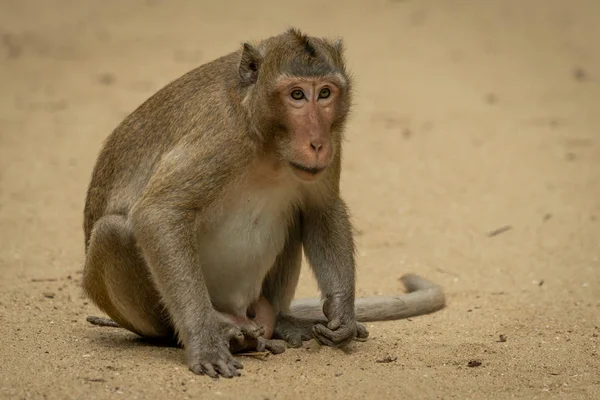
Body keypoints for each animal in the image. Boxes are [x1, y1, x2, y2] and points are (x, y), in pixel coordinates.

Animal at [82, 28, 446, 378]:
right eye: (296, 95)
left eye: (325, 93)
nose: (317, 143)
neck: (269, 141)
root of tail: (241, 311)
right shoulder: (222, 137)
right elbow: (160, 213)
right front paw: (205, 342)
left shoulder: (334, 137)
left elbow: (321, 208)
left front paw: (343, 311)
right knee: (112, 232)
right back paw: (220, 333)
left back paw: (284, 323)